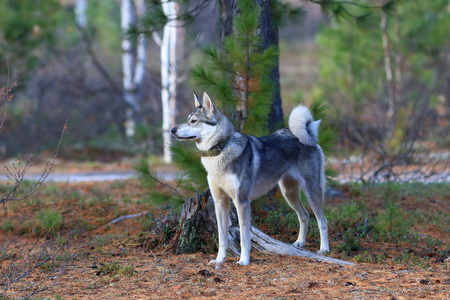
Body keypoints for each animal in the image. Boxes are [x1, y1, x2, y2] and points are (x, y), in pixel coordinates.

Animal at [171, 92, 328, 266]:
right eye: (188, 119)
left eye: (193, 121)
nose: (172, 130)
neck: (220, 151)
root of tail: (307, 135)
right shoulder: (220, 202)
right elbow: (222, 238)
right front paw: (219, 260)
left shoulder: (241, 201)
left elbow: (244, 238)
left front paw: (244, 260)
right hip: (289, 193)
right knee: (304, 216)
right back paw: (300, 243)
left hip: (312, 191)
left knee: (322, 221)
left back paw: (324, 249)